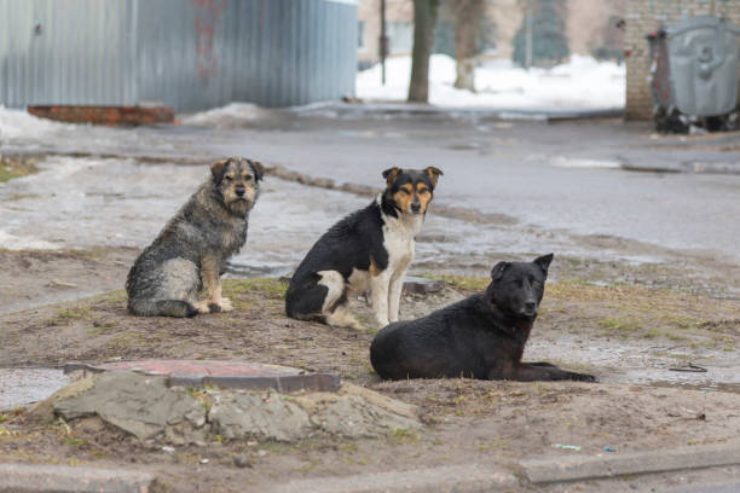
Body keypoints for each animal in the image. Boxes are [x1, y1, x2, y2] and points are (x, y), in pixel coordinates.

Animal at [126, 158, 264, 318]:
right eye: (228, 178)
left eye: (248, 177)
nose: (240, 191)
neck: (223, 204)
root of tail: (137, 301)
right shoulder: (211, 257)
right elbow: (214, 284)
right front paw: (218, 303)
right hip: (185, 265)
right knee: (181, 300)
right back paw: (202, 306)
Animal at [286, 167, 442, 328]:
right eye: (404, 190)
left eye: (424, 190)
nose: (415, 206)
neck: (396, 220)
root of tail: (288, 307)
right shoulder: (381, 273)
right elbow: (382, 305)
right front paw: (384, 325)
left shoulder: (399, 275)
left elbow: (393, 305)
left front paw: (394, 325)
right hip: (333, 276)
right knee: (316, 313)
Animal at [370, 254, 596, 380]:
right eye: (515, 283)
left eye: (536, 283)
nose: (530, 304)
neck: (498, 313)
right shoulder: (505, 371)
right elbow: (552, 372)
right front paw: (582, 376)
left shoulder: (516, 361)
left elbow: (546, 365)